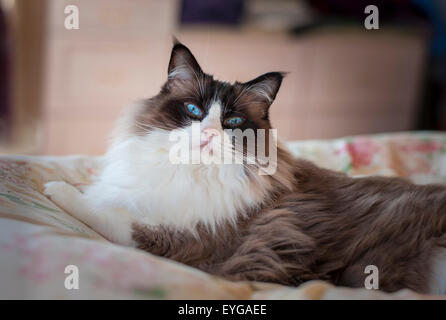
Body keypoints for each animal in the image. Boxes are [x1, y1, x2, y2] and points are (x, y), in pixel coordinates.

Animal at [44, 40, 446, 296]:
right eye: (194, 111)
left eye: (233, 122)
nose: (209, 134)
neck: (189, 172)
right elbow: (100, 196)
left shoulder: (184, 244)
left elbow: (103, 212)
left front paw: (53, 188)